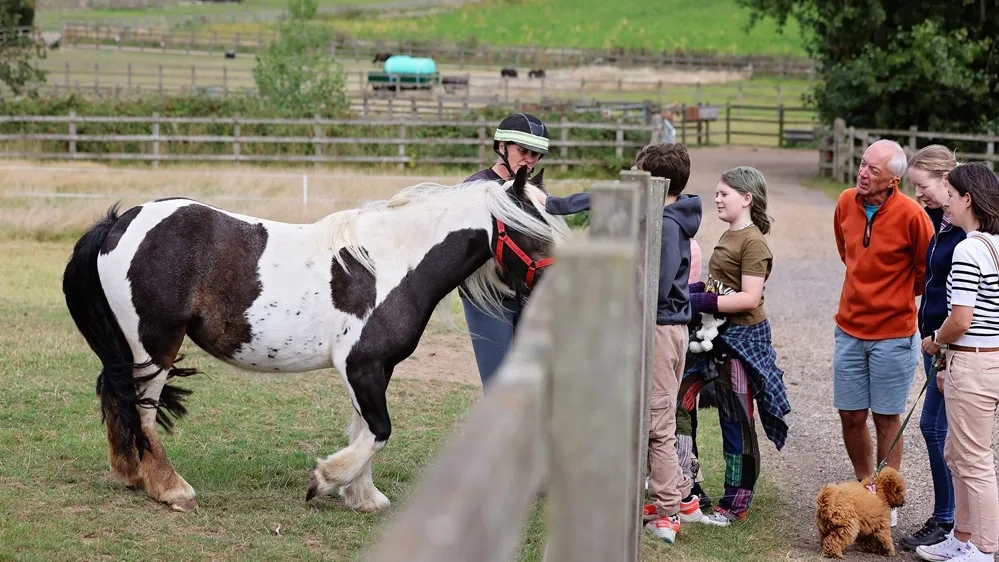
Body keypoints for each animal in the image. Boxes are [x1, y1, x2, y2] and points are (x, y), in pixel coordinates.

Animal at [62, 165, 569, 513]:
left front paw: (362, 496)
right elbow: (379, 431)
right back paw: (171, 490)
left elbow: (365, 429)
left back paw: (130, 475)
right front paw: (325, 480)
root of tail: (119, 223)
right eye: (531, 229)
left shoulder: (372, 368)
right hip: (154, 346)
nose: (560, 285)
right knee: (143, 413)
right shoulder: (362, 367)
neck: (390, 265)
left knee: (116, 397)